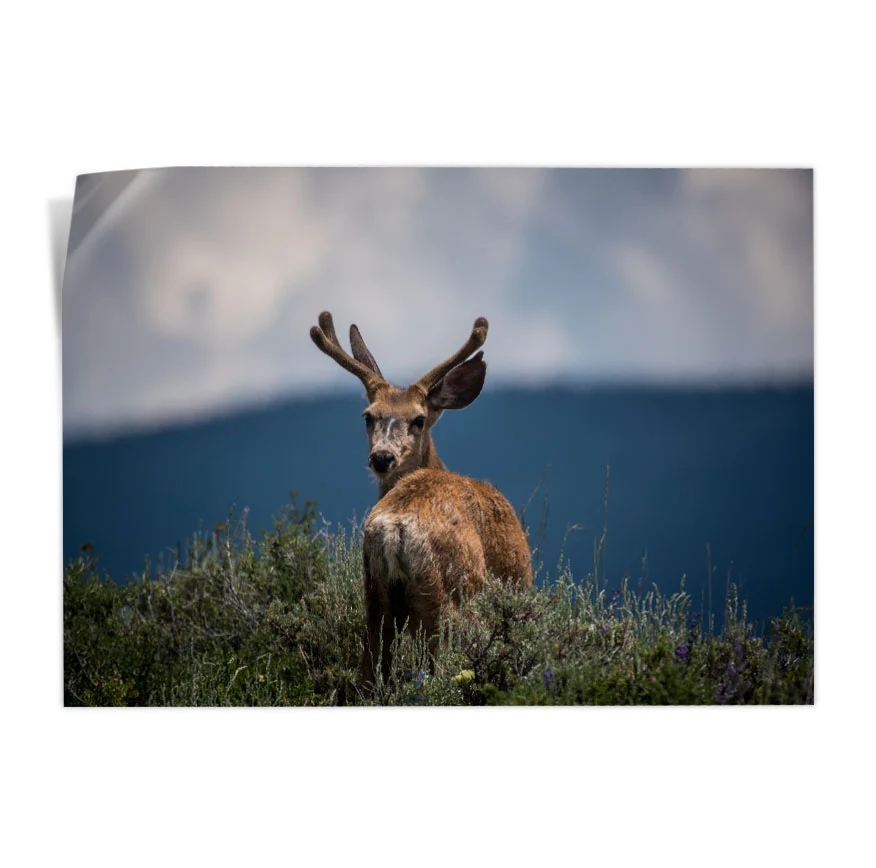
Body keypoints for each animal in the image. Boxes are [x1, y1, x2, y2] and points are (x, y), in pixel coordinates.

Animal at [310, 311, 532, 683]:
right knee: (443, 670)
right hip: (451, 596)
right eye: (369, 416)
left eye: (418, 419)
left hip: (375, 596)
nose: (382, 457)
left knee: (369, 675)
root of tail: (395, 527)